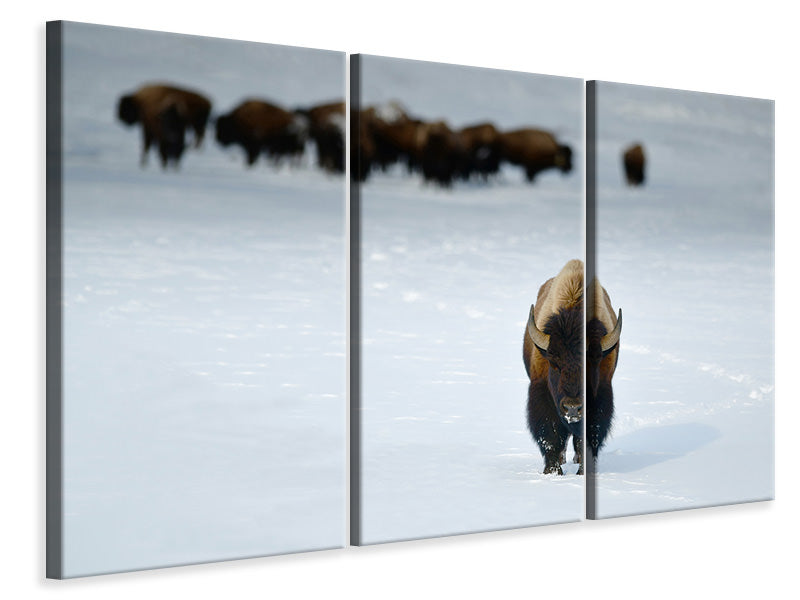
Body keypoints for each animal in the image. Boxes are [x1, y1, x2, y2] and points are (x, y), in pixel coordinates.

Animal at [523, 260, 621, 474]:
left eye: (593, 362)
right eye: (554, 363)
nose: (573, 408)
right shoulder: (541, 391)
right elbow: (550, 434)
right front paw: (552, 471)